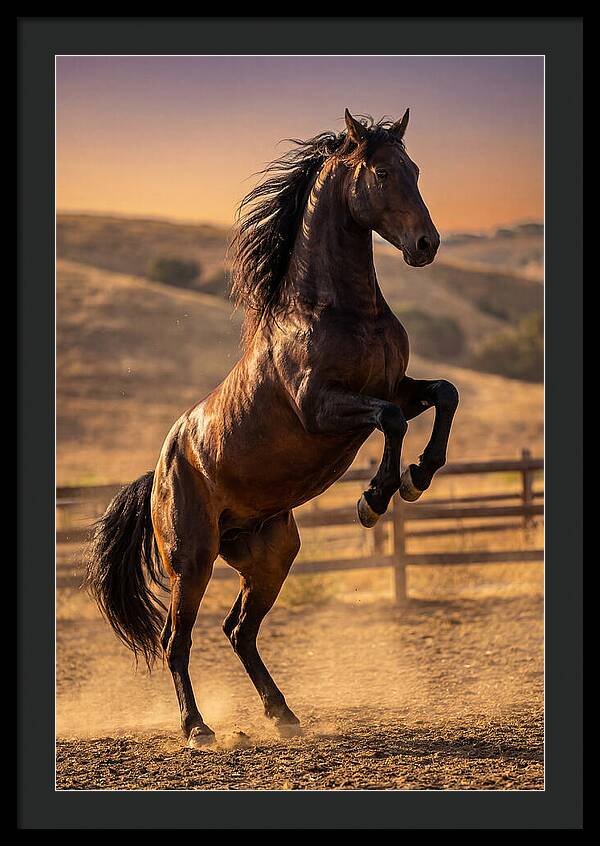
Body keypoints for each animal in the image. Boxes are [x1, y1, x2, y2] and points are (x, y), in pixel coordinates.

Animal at [86, 109, 459, 747]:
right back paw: (197, 729)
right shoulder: (322, 407)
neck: (337, 311)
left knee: (239, 630)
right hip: (193, 559)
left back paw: (283, 714)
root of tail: (158, 470)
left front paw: (418, 476)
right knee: (176, 640)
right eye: (383, 173)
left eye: (415, 169)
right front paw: (374, 499)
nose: (426, 245)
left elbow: (443, 395)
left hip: (271, 553)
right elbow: (388, 423)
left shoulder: (395, 388)